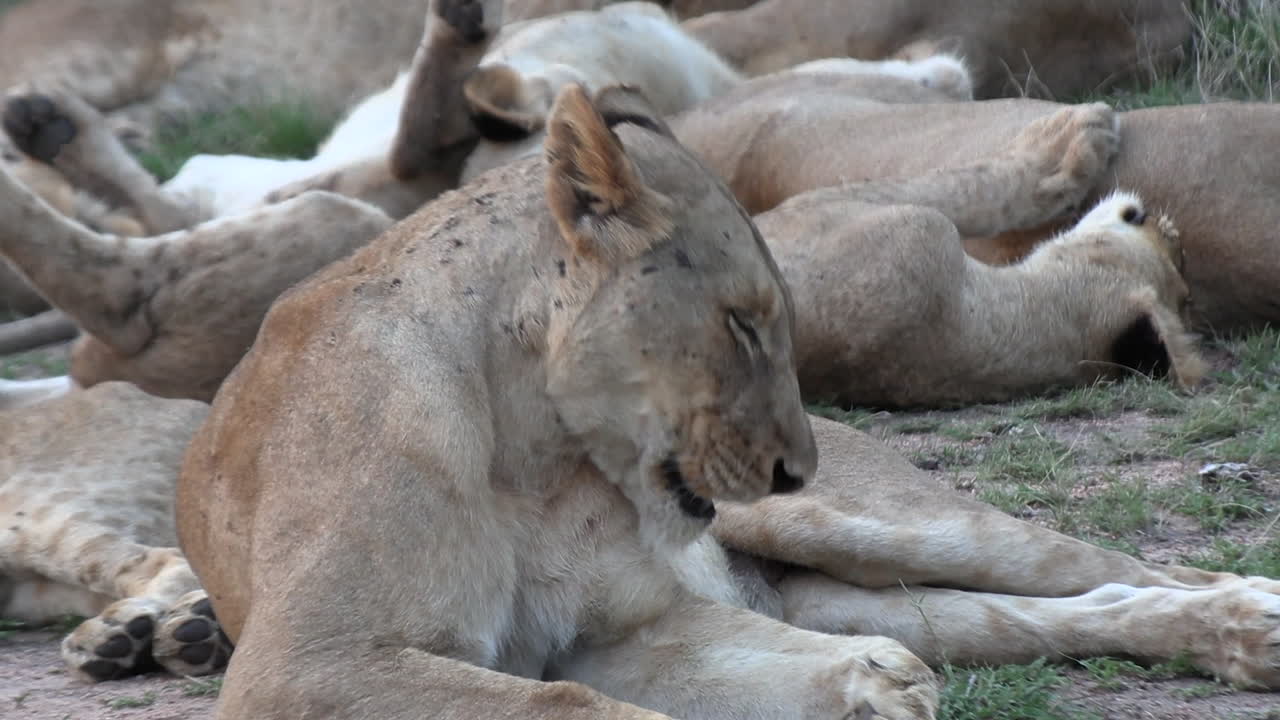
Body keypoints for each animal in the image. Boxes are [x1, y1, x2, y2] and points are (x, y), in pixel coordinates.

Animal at [168, 84, 1280, 719]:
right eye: (744, 323)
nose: (795, 465)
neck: (530, 455)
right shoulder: (304, 665)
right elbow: (567, 704)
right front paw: (871, 685)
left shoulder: (615, 629)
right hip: (840, 584)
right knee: (1048, 615)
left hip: (883, 525)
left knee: (1117, 569)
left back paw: (1248, 615)